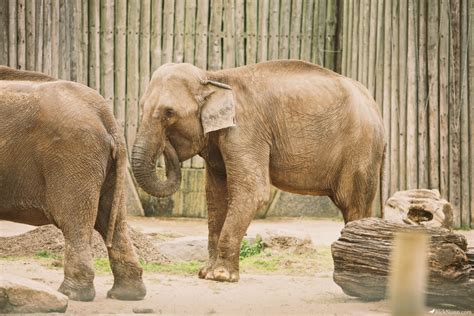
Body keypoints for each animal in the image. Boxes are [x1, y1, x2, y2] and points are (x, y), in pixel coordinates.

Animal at [0, 66, 146, 302]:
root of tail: (106, 116)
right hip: (106, 167)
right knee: (114, 222)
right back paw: (126, 295)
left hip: (73, 154)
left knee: (74, 222)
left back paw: (72, 294)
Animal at [131, 60, 386, 282]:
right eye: (141, 107)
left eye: (169, 113)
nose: (166, 146)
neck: (213, 77)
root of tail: (374, 104)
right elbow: (215, 197)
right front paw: (205, 273)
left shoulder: (245, 130)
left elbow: (252, 192)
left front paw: (221, 276)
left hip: (361, 149)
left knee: (353, 204)